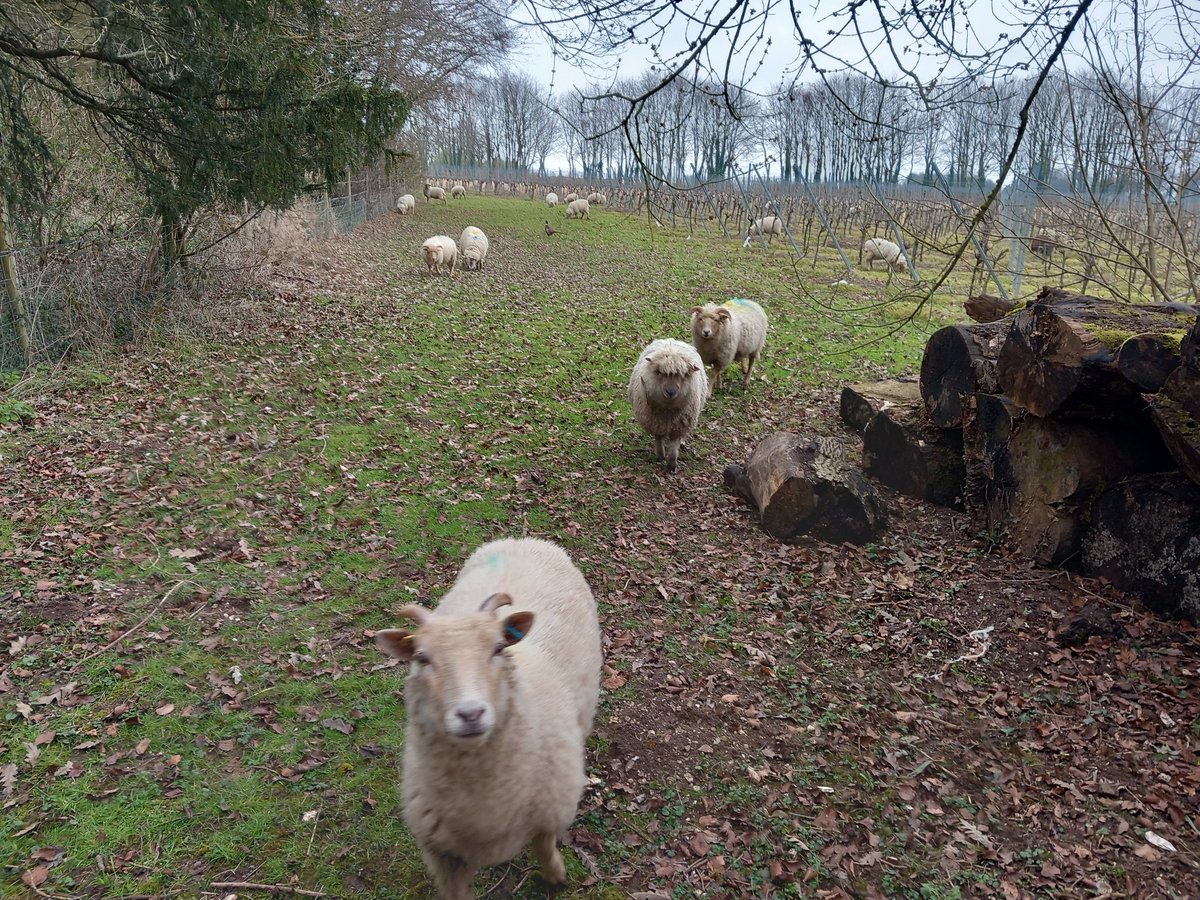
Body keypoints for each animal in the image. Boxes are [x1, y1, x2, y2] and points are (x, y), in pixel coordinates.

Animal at [374, 538, 602, 900]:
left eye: (498, 648)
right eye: (422, 658)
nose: (471, 714)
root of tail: (523, 539)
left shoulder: (549, 810)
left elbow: (544, 847)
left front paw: (556, 877)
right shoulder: (443, 856)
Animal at [628, 338, 709, 472]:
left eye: (684, 375)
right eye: (659, 372)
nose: (670, 392)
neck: (667, 410)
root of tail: (671, 340)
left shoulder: (680, 425)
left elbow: (674, 446)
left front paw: (671, 465)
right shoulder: (655, 422)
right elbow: (658, 439)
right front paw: (660, 456)